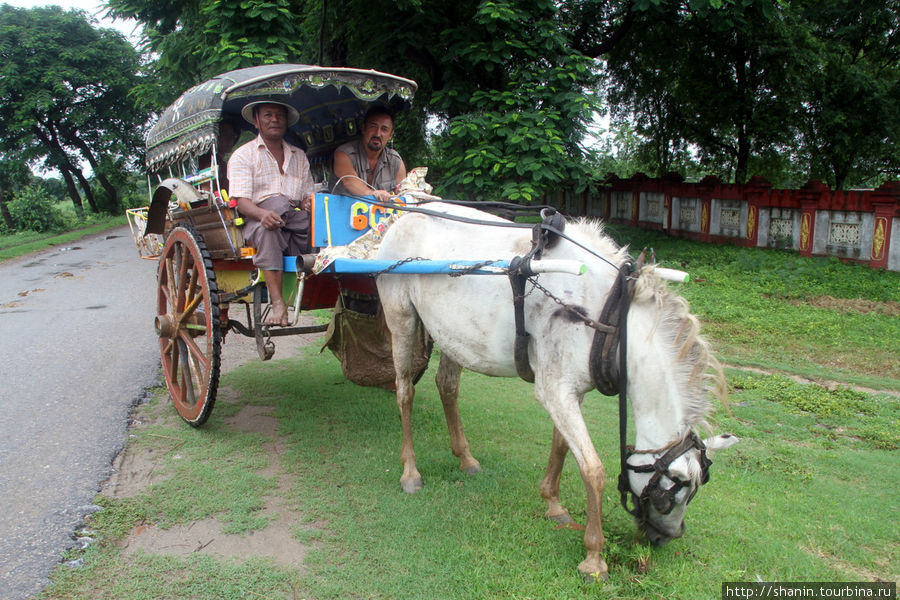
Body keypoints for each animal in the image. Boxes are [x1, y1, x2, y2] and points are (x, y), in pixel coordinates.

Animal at [376, 204, 736, 580]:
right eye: (673, 493)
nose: (668, 536)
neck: (610, 318)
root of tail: (407, 214)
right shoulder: (554, 391)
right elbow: (593, 470)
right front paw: (594, 556)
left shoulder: (574, 390)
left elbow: (562, 447)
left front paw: (553, 502)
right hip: (401, 318)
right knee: (404, 391)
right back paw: (410, 471)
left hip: (454, 334)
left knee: (447, 386)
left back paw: (465, 457)